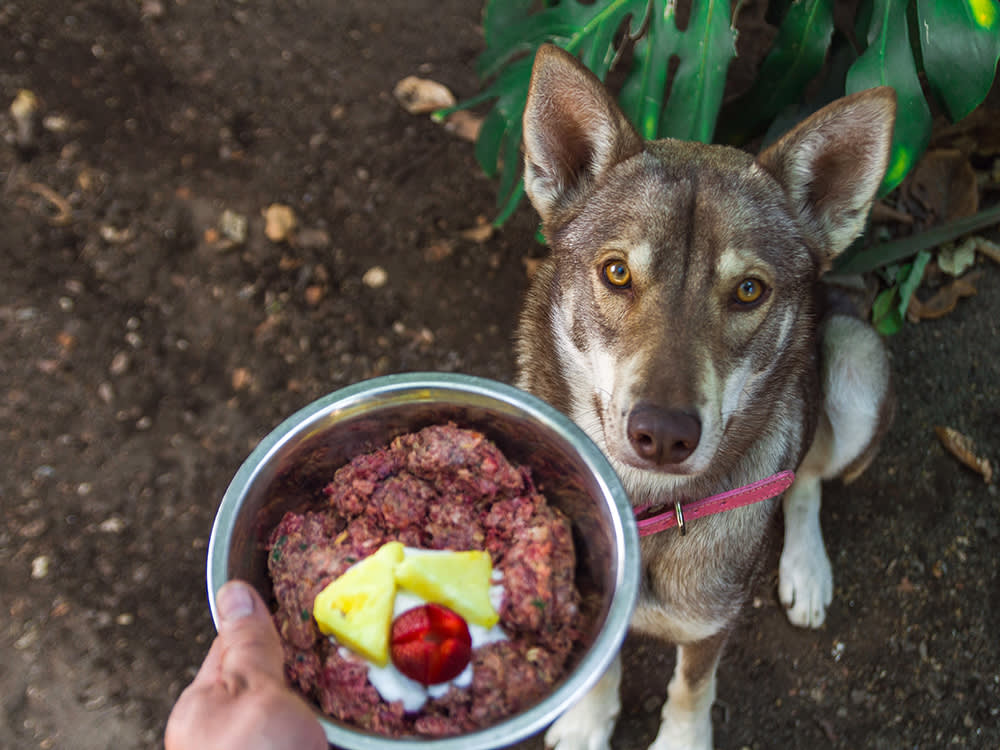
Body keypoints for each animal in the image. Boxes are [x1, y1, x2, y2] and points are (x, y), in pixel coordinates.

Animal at [512, 45, 896, 750]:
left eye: (748, 290)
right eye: (616, 271)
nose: (663, 434)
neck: (648, 506)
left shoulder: (712, 623)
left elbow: (693, 687)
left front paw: (682, 739)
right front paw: (586, 721)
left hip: (857, 362)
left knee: (806, 476)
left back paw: (805, 570)